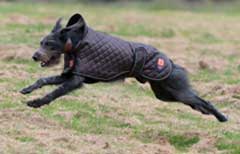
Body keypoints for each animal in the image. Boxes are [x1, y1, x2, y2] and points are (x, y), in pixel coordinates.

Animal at [20, 13, 227, 122]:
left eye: (50, 44)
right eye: (41, 43)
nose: (35, 56)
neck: (76, 43)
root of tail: (172, 63)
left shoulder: (75, 79)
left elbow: (54, 93)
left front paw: (36, 102)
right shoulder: (69, 74)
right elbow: (43, 80)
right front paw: (27, 89)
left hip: (176, 90)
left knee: (204, 100)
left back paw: (222, 116)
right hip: (164, 93)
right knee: (197, 102)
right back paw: (206, 112)